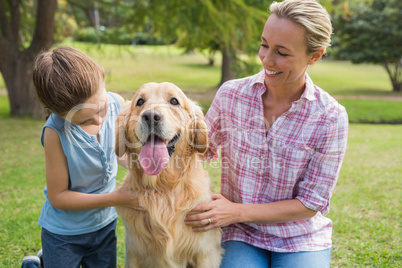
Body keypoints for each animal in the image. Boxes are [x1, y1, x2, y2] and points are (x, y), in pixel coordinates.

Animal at [115, 82, 223, 268]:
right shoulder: (134, 254)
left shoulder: (205, 254)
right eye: (140, 101)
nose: (151, 116)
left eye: (174, 101)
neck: (163, 188)